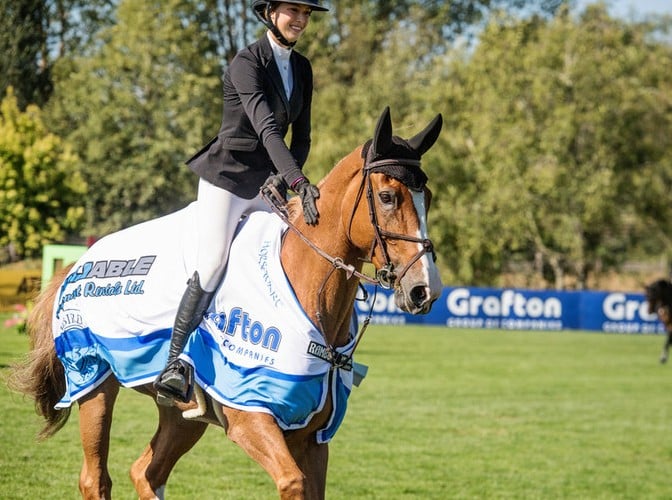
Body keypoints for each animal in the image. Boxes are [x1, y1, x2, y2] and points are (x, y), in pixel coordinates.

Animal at [8, 107, 443, 499]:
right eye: (387, 196)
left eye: (428, 197)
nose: (426, 290)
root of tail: (78, 264)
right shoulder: (250, 415)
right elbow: (293, 483)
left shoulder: (312, 438)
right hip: (93, 382)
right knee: (96, 479)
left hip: (183, 415)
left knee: (146, 473)